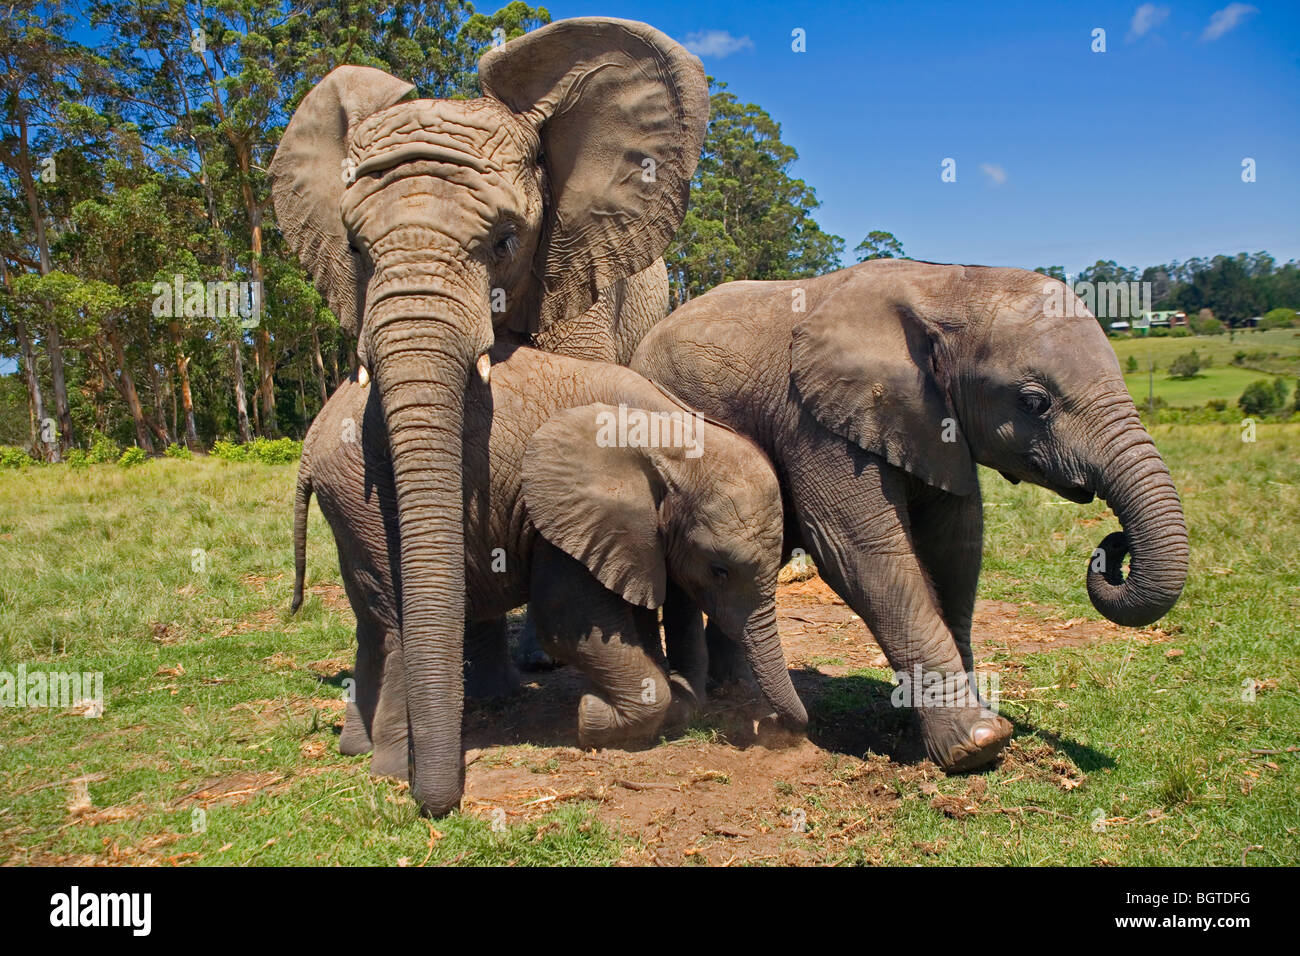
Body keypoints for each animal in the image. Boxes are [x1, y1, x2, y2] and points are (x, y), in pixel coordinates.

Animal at [293, 343, 800, 780]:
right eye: (719, 570)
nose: (778, 733)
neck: (676, 434)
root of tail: (313, 437)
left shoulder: (630, 536)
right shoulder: (561, 517)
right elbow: (566, 622)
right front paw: (594, 717)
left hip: (349, 511)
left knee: (370, 621)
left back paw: (356, 750)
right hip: (364, 501)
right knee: (392, 619)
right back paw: (391, 768)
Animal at [634, 257, 1190, 775]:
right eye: (1035, 402)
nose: (1115, 544)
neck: (947, 284)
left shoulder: (936, 424)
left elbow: (956, 546)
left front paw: (942, 722)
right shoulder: (816, 420)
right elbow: (862, 549)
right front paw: (978, 745)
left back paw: (740, 691)